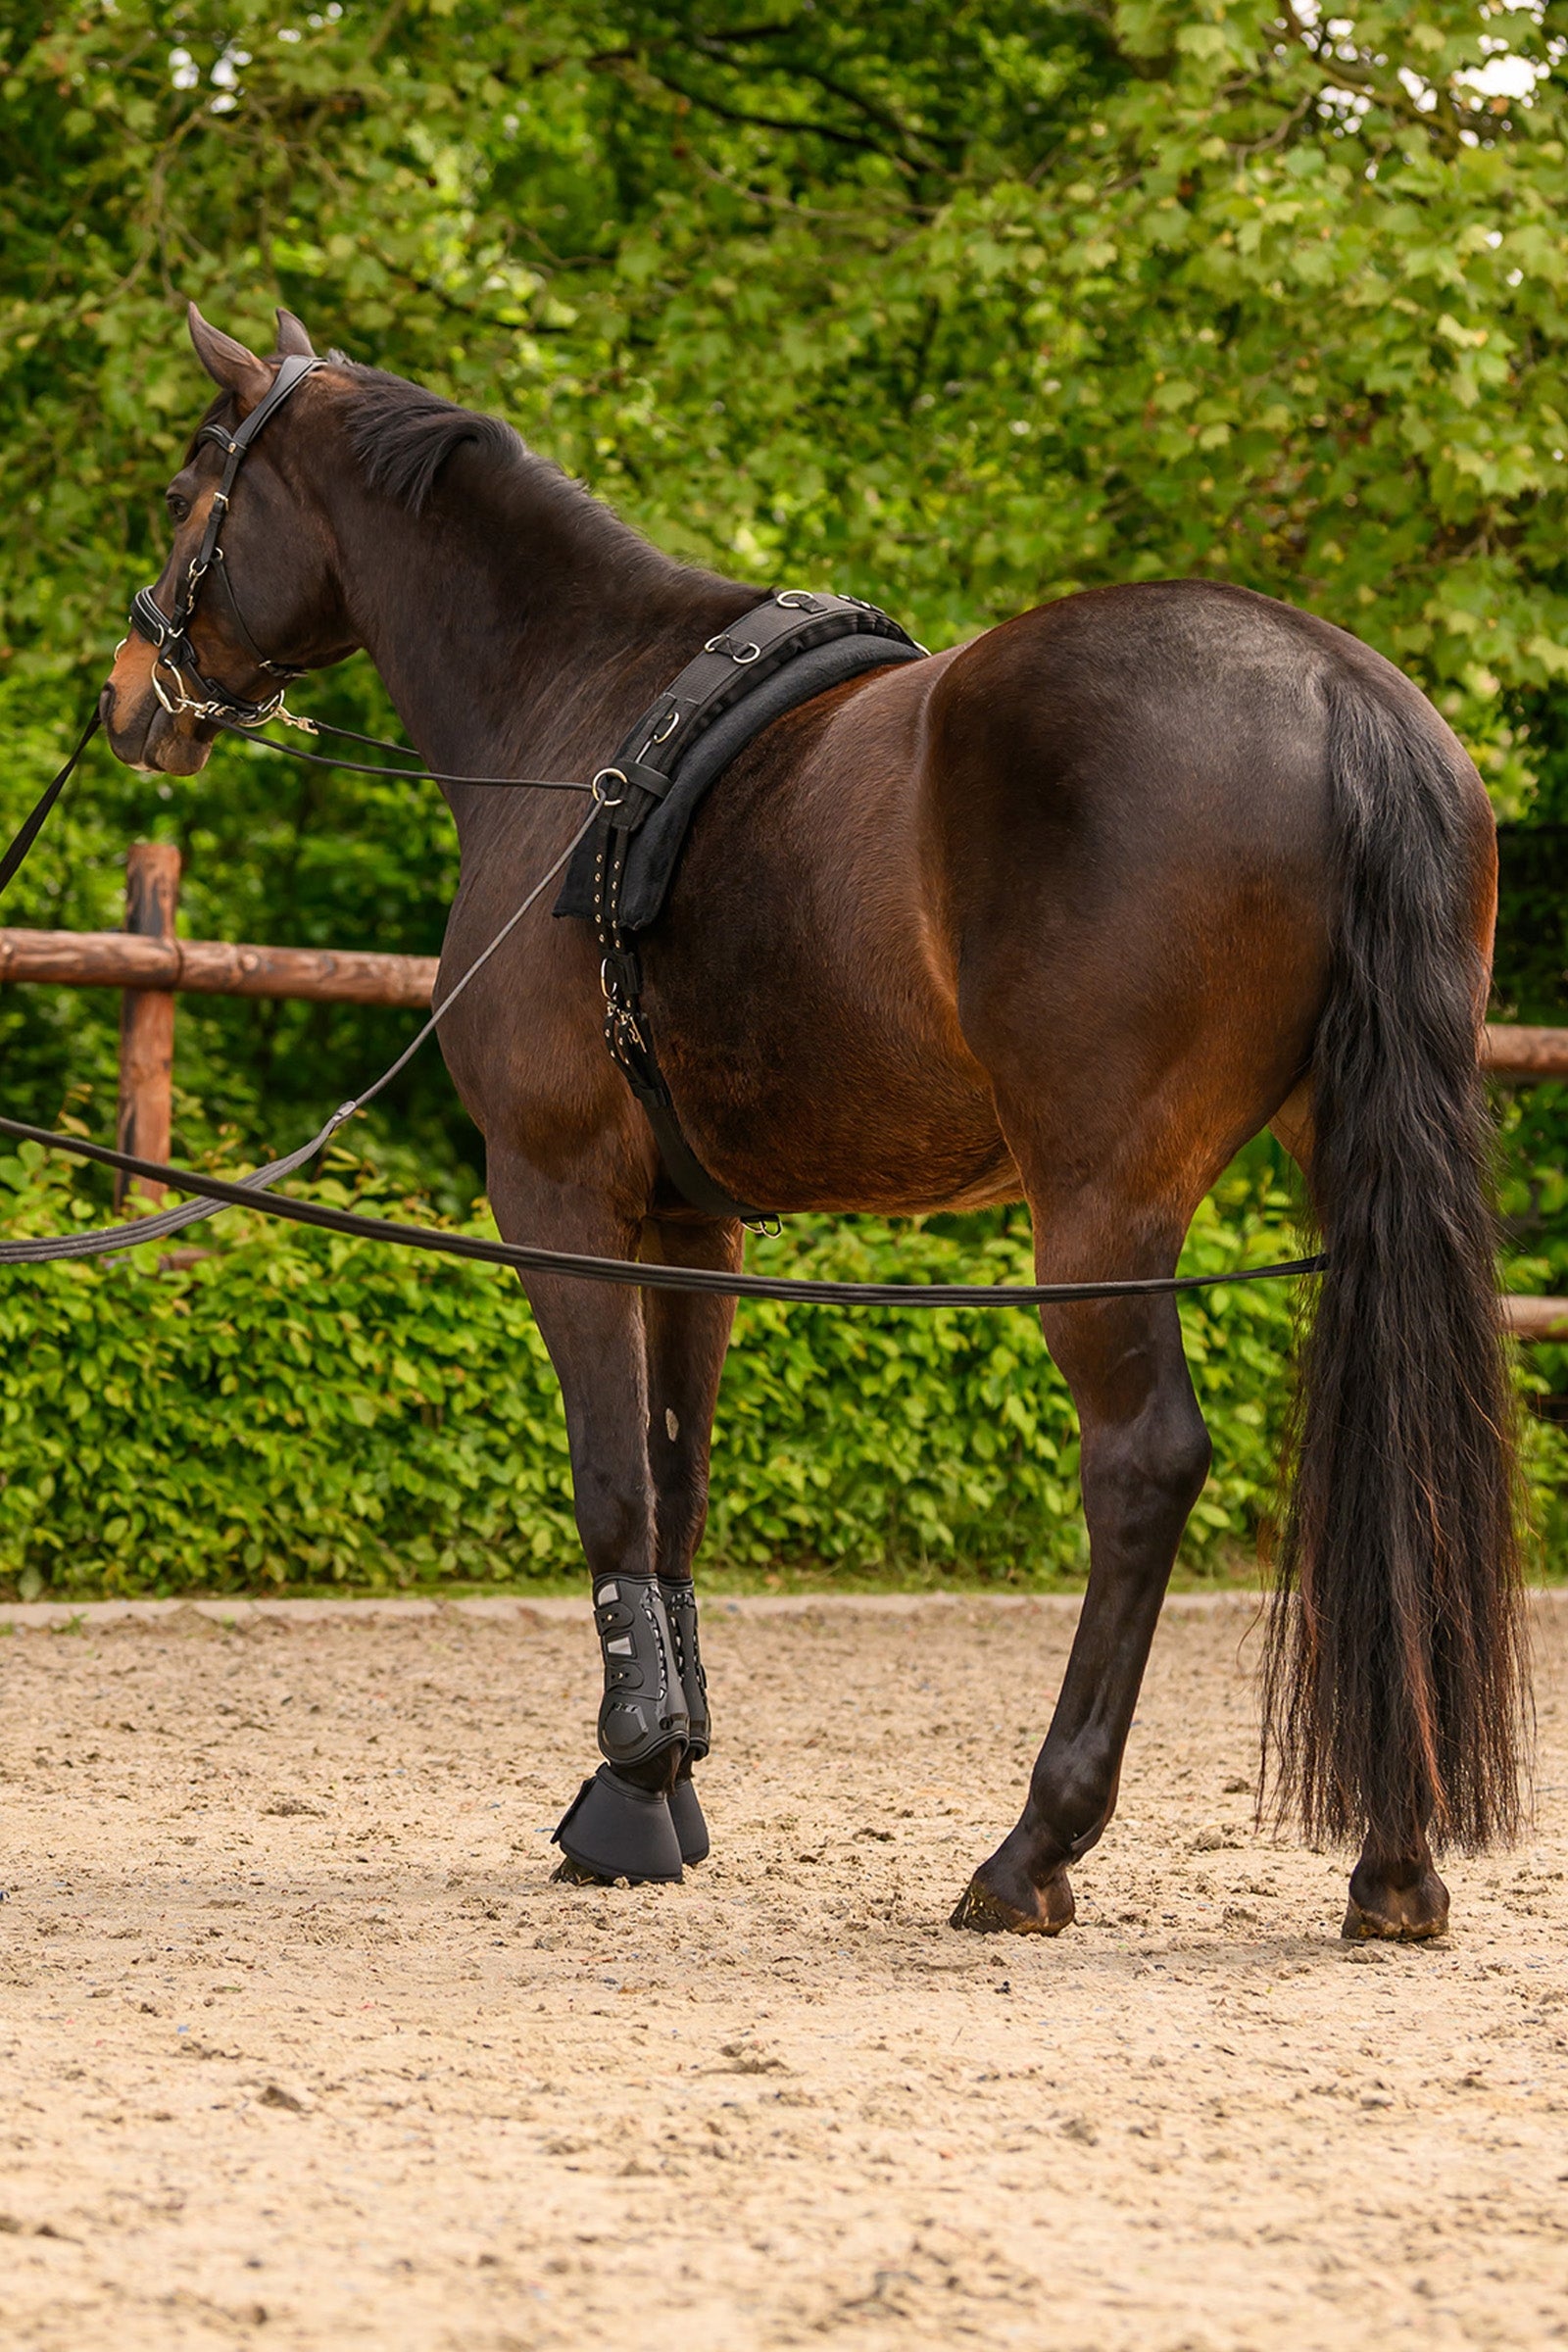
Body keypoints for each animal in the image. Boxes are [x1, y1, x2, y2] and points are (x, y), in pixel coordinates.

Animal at [100, 304, 1525, 1939]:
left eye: (185, 492)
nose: (127, 696)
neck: (575, 703)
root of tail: (1339, 694)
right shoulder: (690, 1221)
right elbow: (677, 1488)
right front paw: (671, 1771)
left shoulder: (559, 1195)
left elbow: (610, 1484)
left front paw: (629, 1786)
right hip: (1343, 1162)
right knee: (1402, 1448)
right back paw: (1395, 1860)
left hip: (1101, 1206)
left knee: (1143, 1464)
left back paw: (1034, 1847)